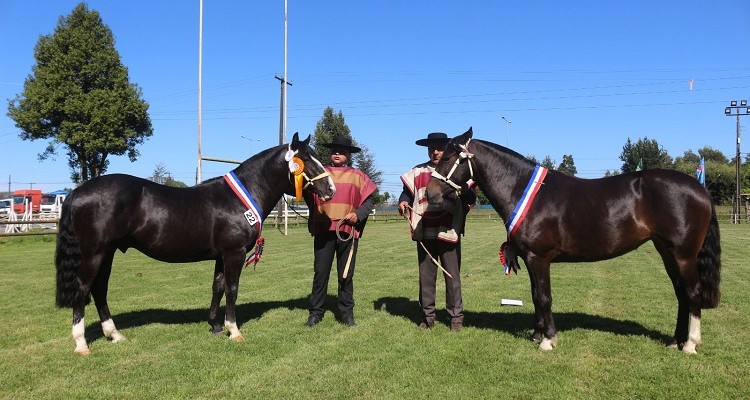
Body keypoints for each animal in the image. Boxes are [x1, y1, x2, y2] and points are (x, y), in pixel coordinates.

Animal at [53, 133, 334, 354]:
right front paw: (234, 330)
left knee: (99, 289)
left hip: (108, 252)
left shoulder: (221, 255)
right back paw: (82, 344)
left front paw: (216, 326)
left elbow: (217, 287)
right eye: (307, 160)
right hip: (95, 253)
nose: (330, 188)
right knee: (83, 288)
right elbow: (232, 289)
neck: (239, 198)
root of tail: (78, 192)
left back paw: (114, 335)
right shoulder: (234, 253)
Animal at [428, 127, 724, 354]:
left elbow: (544, 296)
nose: (430, 192)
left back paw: (690, 345)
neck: (524, 190)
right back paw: (675, 341)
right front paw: (537, 335)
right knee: (681, 294)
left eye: (450, 157)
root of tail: (700, 189)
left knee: (692, 293)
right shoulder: (531, 259)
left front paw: (548, 341)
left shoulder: (539, 258)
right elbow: (535, 296)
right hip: (667, 252)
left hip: (683, 255)